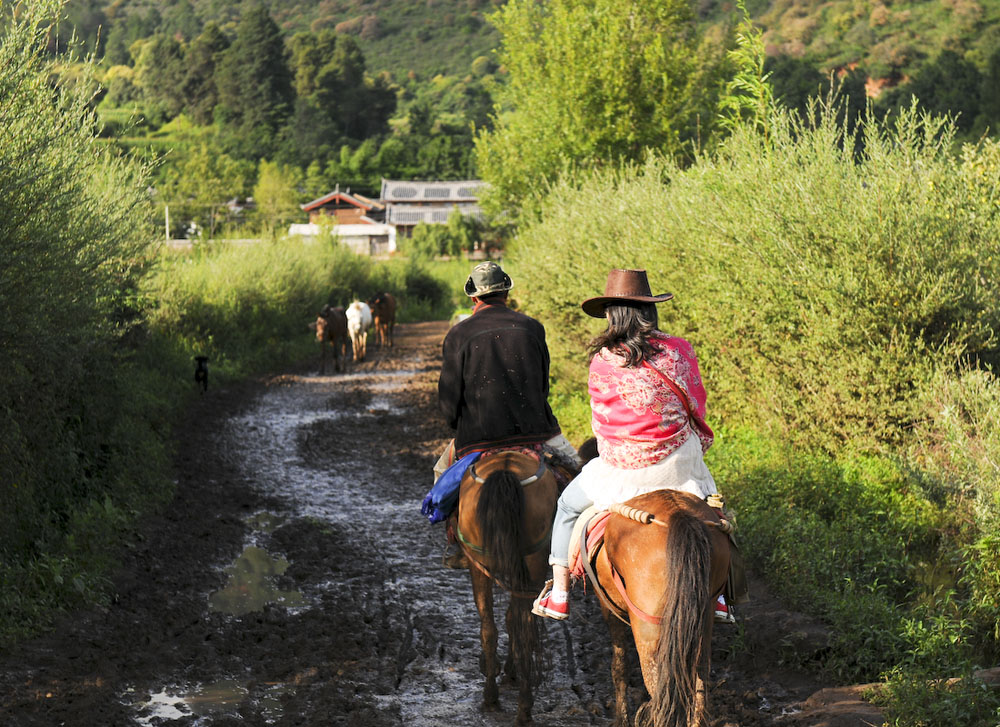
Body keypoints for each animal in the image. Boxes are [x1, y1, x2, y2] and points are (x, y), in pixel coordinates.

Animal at [456, 452, 564, 724]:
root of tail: (506, 469)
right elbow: (512, 618)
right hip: (527, 564)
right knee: (511, 627)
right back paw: (519, 705)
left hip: (483, 565)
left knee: (493, 627)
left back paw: (496, 697)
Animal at [588, 490, 732, 727]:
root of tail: (680, 515)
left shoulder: (608, 607)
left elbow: (619, 665)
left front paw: (622, 719)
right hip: (703, 617)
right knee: (700, 674)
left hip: (648, 630)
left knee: (659, 686)